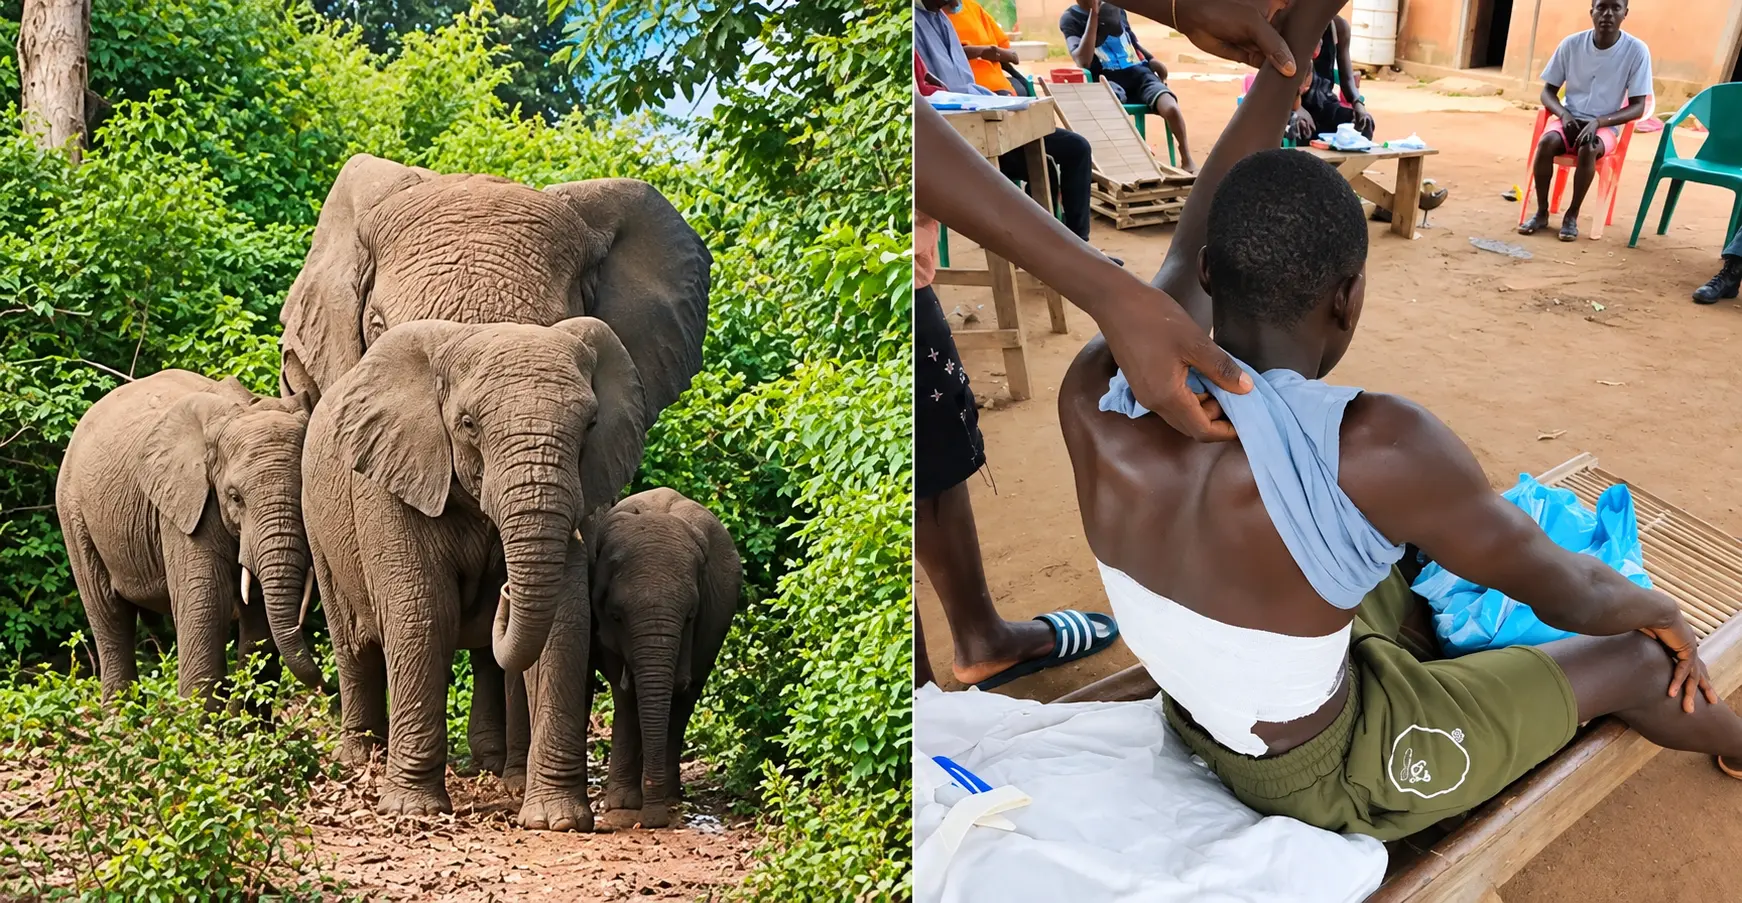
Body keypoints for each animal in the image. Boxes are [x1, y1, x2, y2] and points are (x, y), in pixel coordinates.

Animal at [55, 369, 318, 704]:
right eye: (235, 497)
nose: (323, 682)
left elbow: (257, 619)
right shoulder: (188, 502)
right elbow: (207, 603)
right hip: (72, 509)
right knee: (110, 615)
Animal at [302, 316, 647, 829]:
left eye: (590, 425)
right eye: (468, 425)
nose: (504, 591)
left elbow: (563, 624)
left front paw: (556, 820)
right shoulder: (390, 481)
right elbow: (422, 614)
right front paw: (413, 811)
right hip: (318, 524)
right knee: (354, 645)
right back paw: (361, 759)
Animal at [588, 488, 740, 828]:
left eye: (690, 616)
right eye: (616, 616)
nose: (652, 821)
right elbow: (625, 695)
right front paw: (623, 806)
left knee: (685, 702)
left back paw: (669, 795)